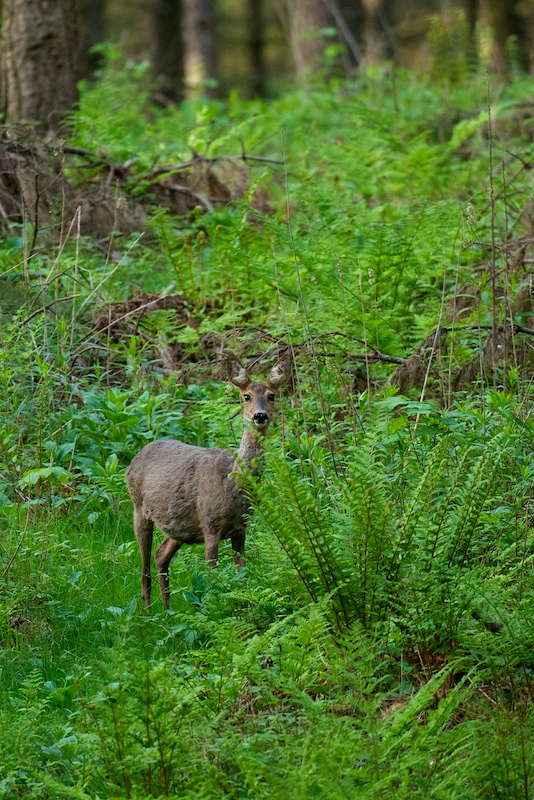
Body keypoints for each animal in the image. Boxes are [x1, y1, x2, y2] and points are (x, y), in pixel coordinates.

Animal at [126, 354, 292, 608]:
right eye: (246, 396)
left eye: (271, 395)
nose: (260, 415)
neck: (232, 484)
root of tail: (135, 459)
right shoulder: (211, 524)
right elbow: (213, 577)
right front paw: (217, 608)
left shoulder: (240, 528)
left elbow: (243, 575)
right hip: (139, 509)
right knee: (144, 567)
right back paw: (149, 611)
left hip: (179, 526)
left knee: (160, 555)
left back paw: (167, 609)